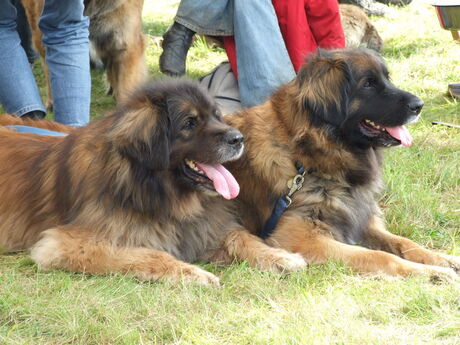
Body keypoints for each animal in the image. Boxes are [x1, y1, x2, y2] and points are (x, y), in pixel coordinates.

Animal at [0, 78, 306, 284]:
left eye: (217, 115)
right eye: (189, 123)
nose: (238, 138)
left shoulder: (205, 228)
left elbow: (242, 238)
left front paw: (280, 256)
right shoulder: (66, 243)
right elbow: (150, 255)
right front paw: (192, 273)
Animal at [226, 47, 460, 280]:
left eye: (387, 79)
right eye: (368, 84)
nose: (419, 105)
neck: (306, 156)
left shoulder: (358, 217)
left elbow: (405, 242)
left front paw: (443, 259)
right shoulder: (299, 236)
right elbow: (379, 256)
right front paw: (430, 272)